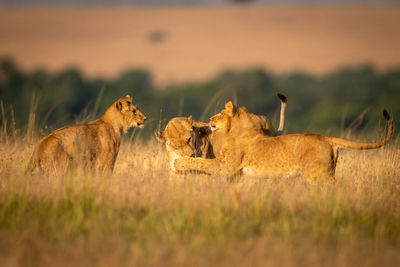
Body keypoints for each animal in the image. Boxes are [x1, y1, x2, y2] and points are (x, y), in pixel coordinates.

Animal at [175, 101, 394, 184]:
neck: (237, 129)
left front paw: (178, 163)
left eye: (220, 113)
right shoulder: (233, 171)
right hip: (328, 170)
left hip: (318, 174)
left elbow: (201, 162)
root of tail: (326, 137)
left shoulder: (226, 166)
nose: (210, 119)